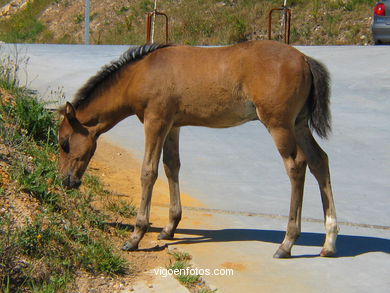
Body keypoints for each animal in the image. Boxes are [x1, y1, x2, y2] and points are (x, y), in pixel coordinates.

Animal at [58, 40, 338, 256]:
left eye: (63, 143)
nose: (66, 181)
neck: (141, 74)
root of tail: (304, 59)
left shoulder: (155, 120)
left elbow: (148, 172)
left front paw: (135, 236)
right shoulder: (173, 125)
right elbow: (171, 166)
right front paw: (169, 228)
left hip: (279, 124)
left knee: (297, 165)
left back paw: (287, 243)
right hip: (299, 123)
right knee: (319, 161)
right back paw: (329, 242)